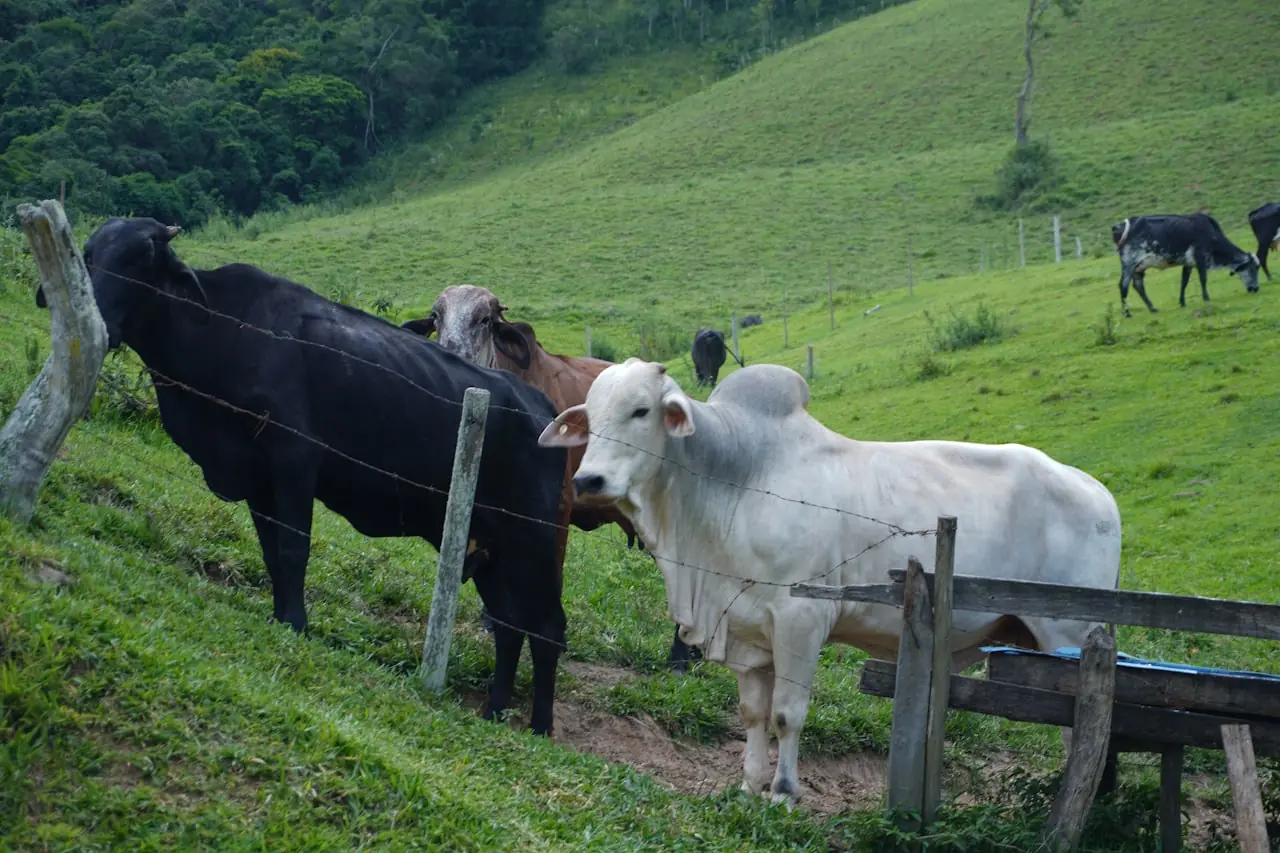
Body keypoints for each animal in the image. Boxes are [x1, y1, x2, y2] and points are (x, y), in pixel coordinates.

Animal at [38, 218, 573, 736]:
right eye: (87, 256)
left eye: (143, 259)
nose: (97, 319)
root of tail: (541, 405)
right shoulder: (256, 476)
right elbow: (273, 553)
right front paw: (279, 616)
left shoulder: (294, 457)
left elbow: (295, 548)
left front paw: (296, 623)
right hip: (491, 549)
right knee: (510, 626)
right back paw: (495, 710)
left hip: (535, 542)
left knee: (547, 629)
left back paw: (540, 727)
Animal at [538, 359, 1122, 806]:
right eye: (590, 415)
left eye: (641, 410)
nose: (588, 480)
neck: (733, 480)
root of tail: (1098, 492)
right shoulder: (746, 630)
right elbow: (753, 713)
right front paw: (750, 785)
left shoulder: (800, 620)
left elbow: (787, 714)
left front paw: (783, 792)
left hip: (1069, 637)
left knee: (1087, 729)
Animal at [1111, 213, 1261, 317]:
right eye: (1253, 268)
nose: (1256, 288)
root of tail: (1119, 226)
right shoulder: (1201, 259)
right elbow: (1203, 279)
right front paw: (1206, 298)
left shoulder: (1188, 263)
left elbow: (1184, 282)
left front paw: (1182, 302)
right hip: (1129, 262)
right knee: (1123, 285)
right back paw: (1127, 313)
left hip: (1139, 267)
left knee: (1138, 286)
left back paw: (1152, 308)